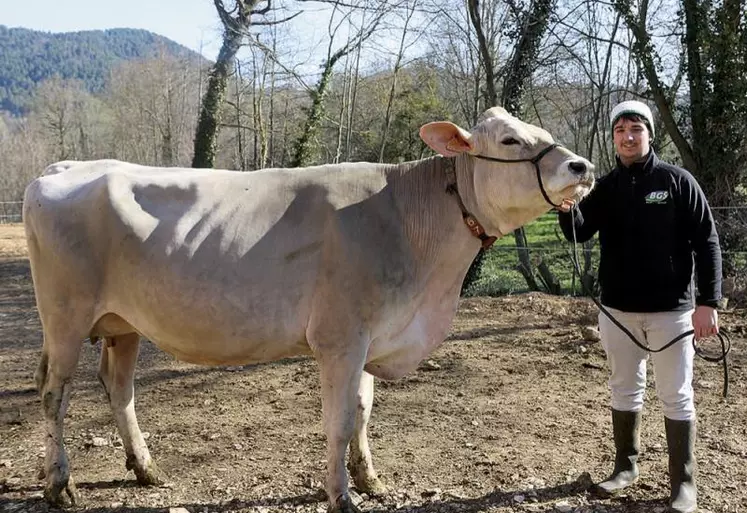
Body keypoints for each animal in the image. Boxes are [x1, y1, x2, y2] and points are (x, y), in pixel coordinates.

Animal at [24, 106, 596, 510]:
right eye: (510, 140)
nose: (583, 165)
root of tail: (64, 167)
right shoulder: (341, 336)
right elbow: (339, 421)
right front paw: (341, 497)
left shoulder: (373, 335)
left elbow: (363, 411)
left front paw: (370, 479)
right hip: (64, 316)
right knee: (54, 393)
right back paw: (59, 485)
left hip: (123, 323)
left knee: (119, 387)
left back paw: (146, 469)